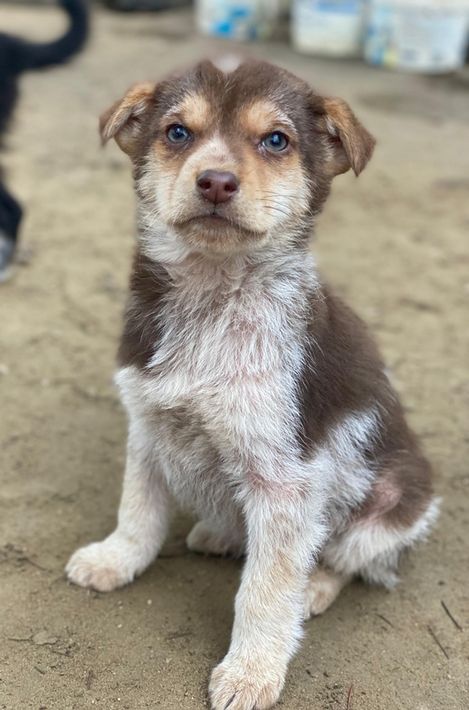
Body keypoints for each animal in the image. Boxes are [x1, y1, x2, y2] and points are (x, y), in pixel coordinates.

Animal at [66, 59, 439, 710]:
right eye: (177, 133)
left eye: (276, 141)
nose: (215, 182)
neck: (213, 298)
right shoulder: (148, 422)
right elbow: (137, 510)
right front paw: (115, 559)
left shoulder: (286, 480)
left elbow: (265, 589)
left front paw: (251, 672)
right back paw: (219, 533)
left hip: (395, 501)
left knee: (347, 556)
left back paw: (314, 587)